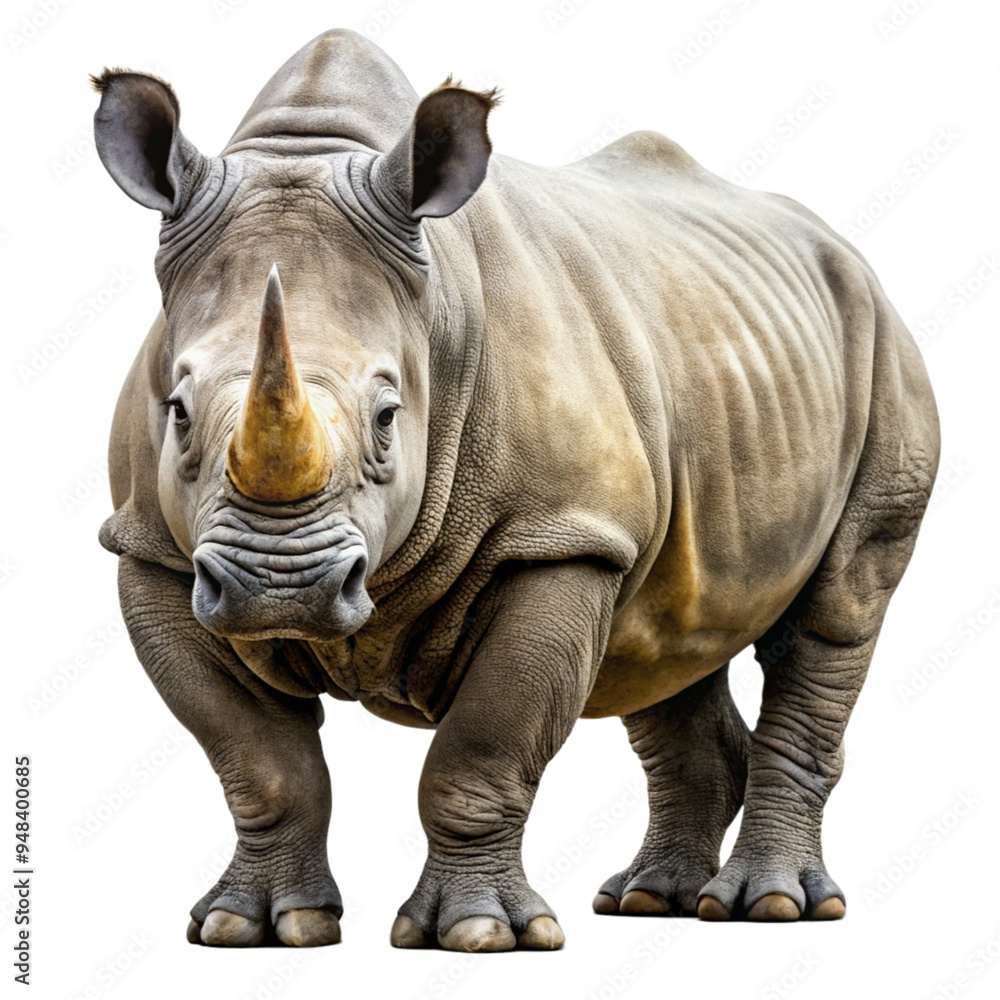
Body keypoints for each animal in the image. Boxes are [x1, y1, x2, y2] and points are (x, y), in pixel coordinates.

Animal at [93, 29, 939, 952]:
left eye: (388, 415)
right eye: (176, 411)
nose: (279, 587)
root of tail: (840, 247)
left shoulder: (558, 537)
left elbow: (482, 749)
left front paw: (479, 934)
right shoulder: (152, 549)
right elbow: (258, 762)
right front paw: (257, 927)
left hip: (882, 349)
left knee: (834, 613)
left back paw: (772, 908)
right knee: (661, 637)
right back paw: (653, 901)